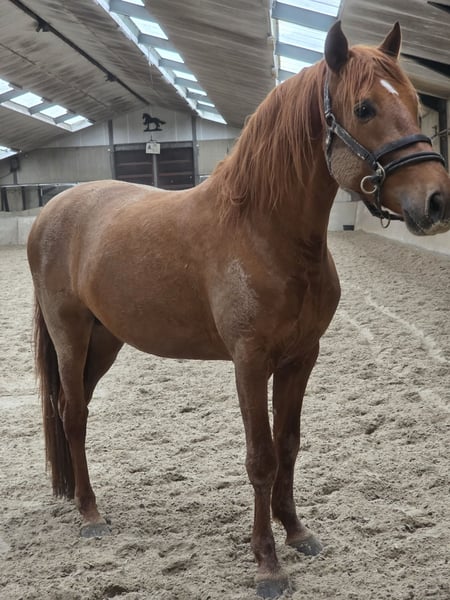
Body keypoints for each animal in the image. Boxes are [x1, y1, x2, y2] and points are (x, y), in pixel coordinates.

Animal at [27, 22, 450, 599]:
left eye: (411, 99)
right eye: (364, 108)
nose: (437, 202)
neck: (262, 232)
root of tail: (51, 210)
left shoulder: (300, 359)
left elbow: (288, 445)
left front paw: (297, 533)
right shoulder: (250, 363)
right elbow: (261, 458)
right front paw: (268, 564)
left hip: (105, 340)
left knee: (78, 411)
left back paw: (78, 498)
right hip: (70, 335)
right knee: (71, 414)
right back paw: (91, 516)